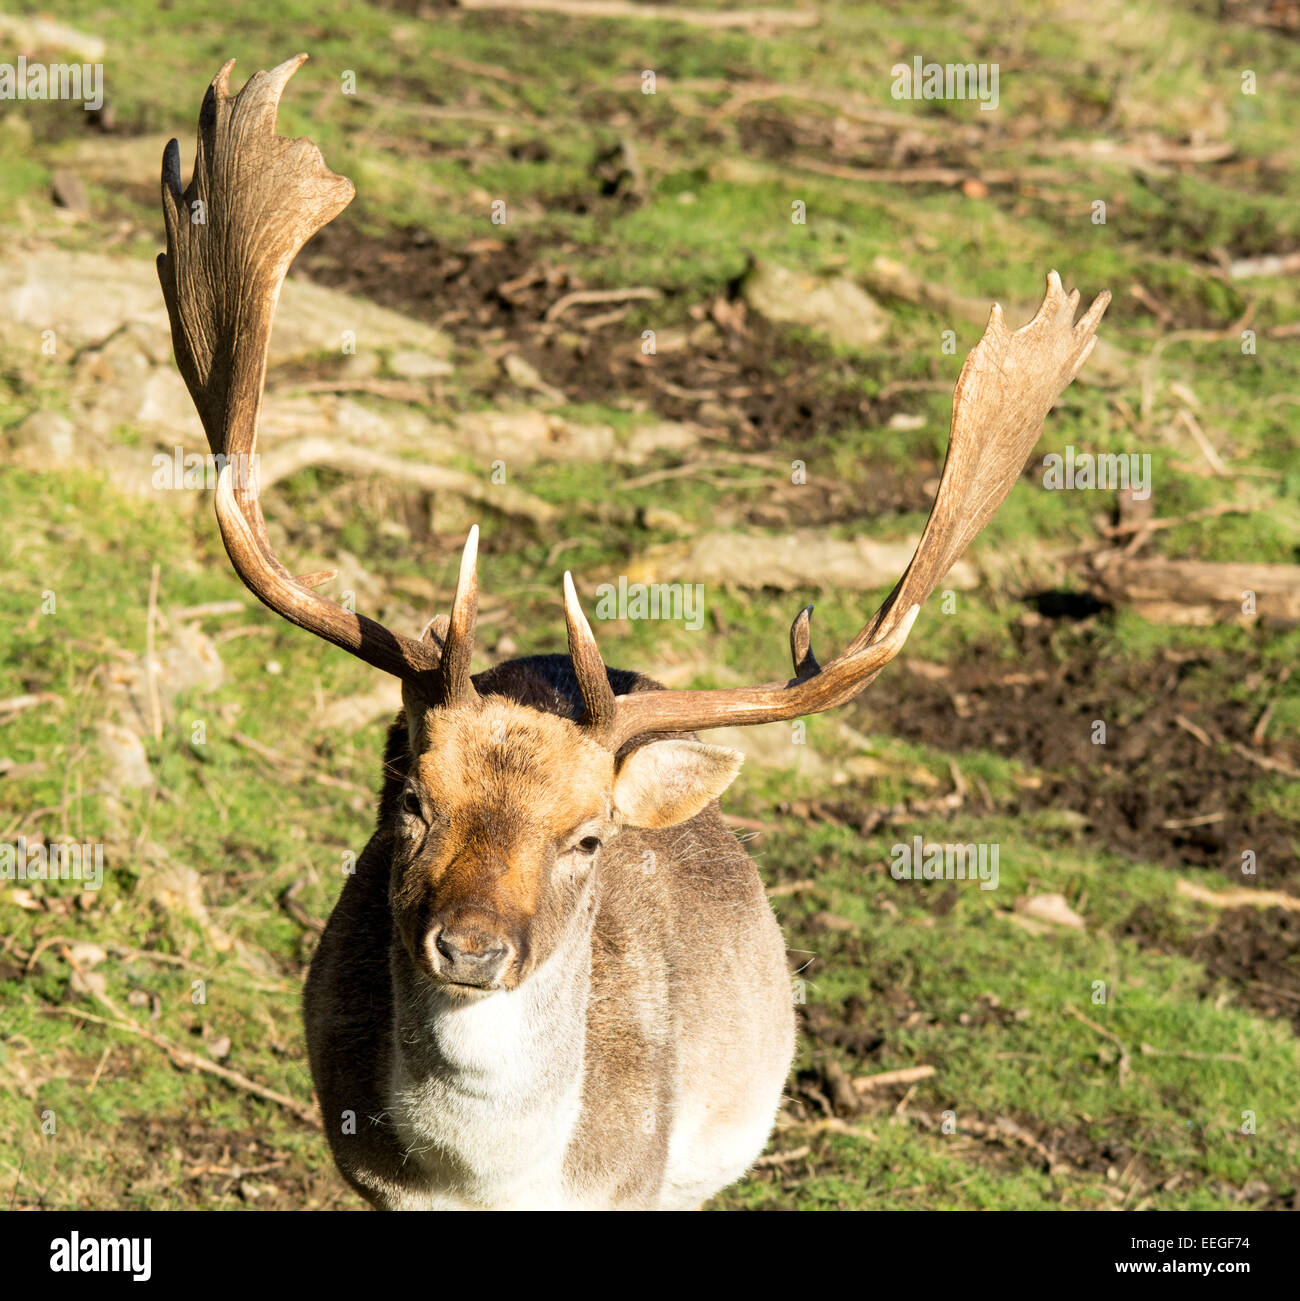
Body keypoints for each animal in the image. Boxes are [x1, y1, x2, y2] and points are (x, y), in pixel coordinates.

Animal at [154, 53, 1108, 1207]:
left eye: (588, 835)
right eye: (413, 802)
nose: (470, 947)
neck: (491, 1181)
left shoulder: (634, 1182)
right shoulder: (370, 1179)